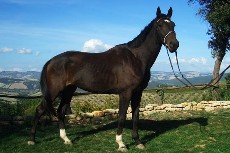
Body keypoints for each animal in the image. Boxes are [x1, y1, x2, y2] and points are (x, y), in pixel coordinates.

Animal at [27, 6, 179, 151]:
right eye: (160, 25)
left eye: (173, 24)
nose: (174, 45)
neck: (136, 58)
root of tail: (51, 61)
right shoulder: (125, 93)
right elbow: (122, 116)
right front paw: (121, 144)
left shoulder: (138, 92)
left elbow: (135, 116)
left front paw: (138, 142)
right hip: (54, 91)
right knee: (40, 109)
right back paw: (32, 140)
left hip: (68, 90)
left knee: (61, 111)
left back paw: (66, 140)